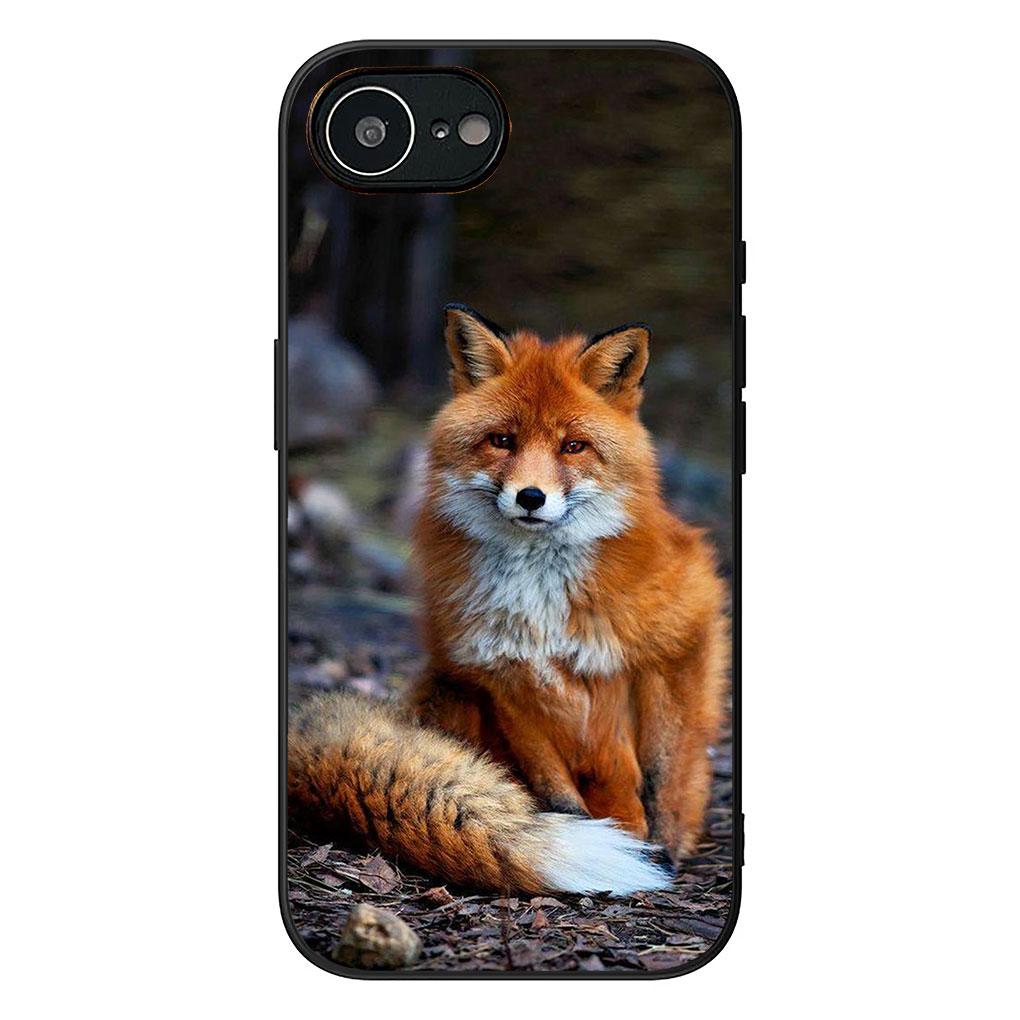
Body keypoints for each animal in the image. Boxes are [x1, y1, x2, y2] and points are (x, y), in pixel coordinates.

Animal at [288, 304, 729, 897]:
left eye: (572, 446)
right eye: (502, 440)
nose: (531, 497)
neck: (540, 599)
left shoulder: (677, 632)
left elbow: (664, 768)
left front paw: (663, 843)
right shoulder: (498, 675)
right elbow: (556, 789)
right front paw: (605, 842)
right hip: (448, 688)